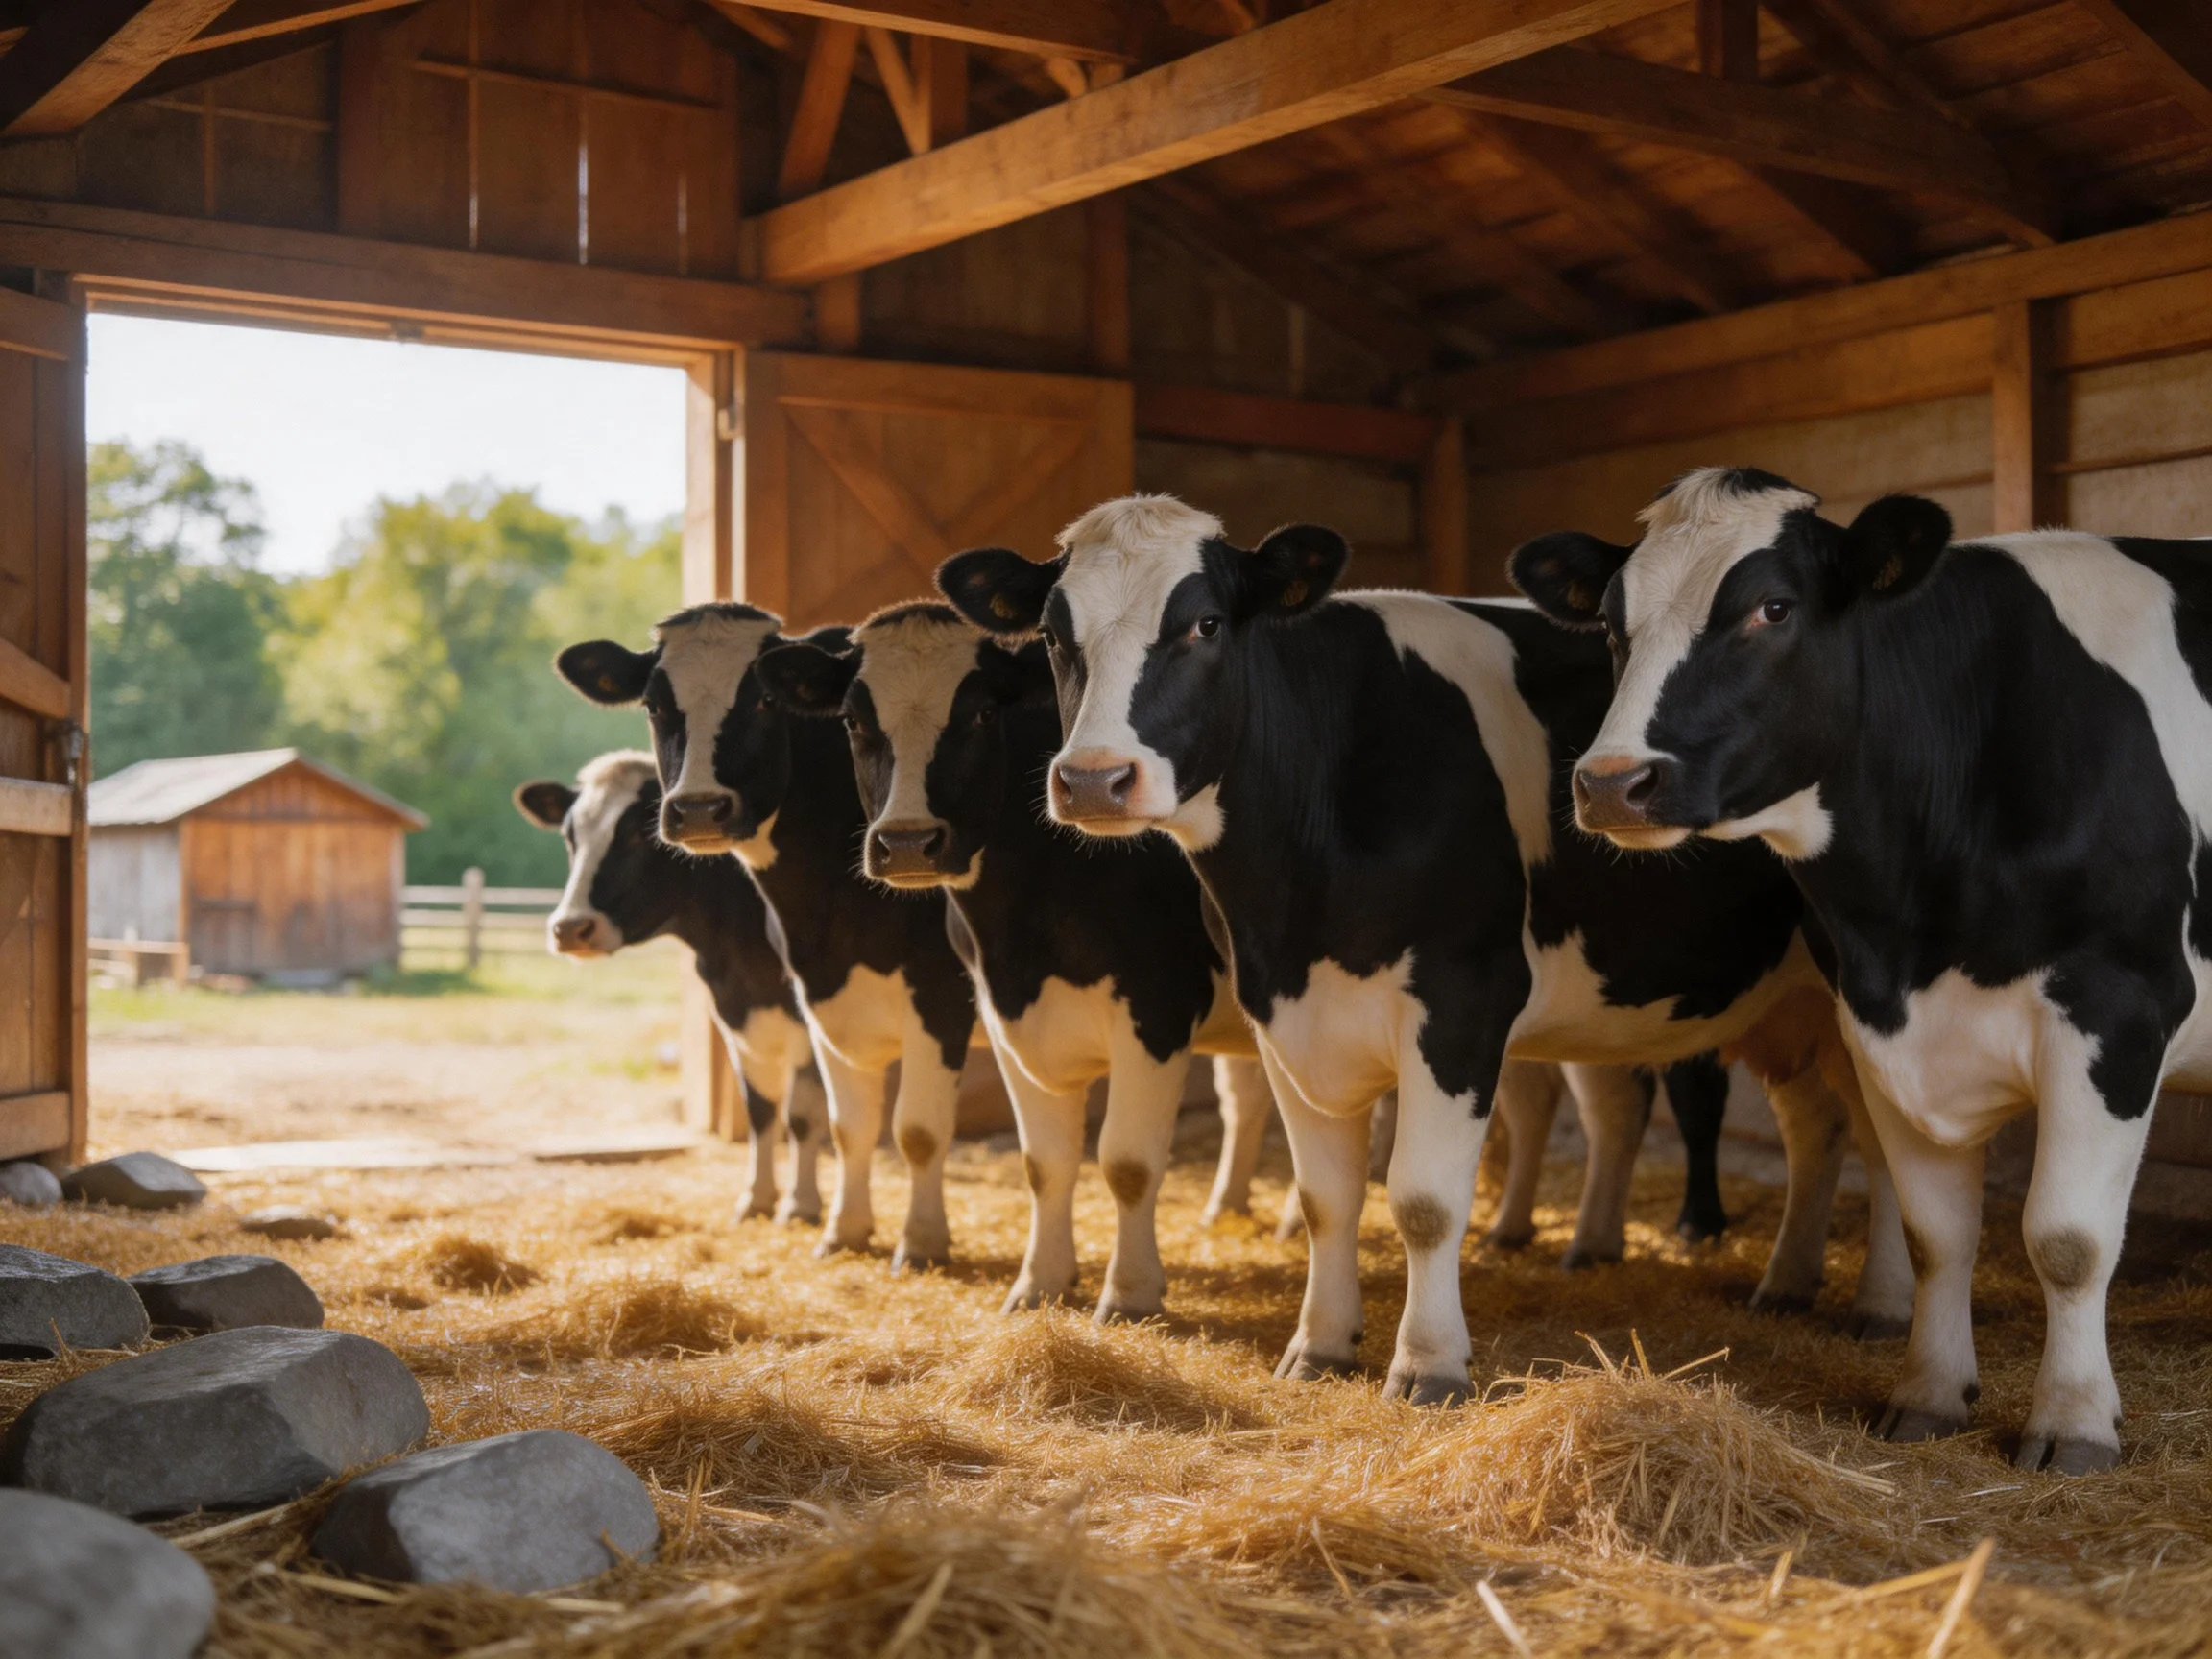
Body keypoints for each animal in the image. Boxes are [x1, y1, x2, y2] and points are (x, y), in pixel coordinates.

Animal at [515, 751, 825, 1224]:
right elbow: (760, 1109)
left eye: (641, 834)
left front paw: (801, 1204)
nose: (569, 928)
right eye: (570, 837)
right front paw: (756, 1198)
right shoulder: (738, 1015)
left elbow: (804, 1113)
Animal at [938, 494, 1909, 1405]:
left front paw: (1428, 1364)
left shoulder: (1463, 1001)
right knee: (1816, 1125)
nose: (1094, 779)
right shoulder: (1279, 1011)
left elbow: (1424, 1201)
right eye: (1054, 634)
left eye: (1206, 622)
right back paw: (1786, 1282)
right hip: (1785, 1002)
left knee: (1880, 1133)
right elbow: (1327, 1198)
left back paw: (1884, 1307)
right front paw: (1319, 1346)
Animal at [1511, 465, 2212, 1473]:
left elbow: (2068, 1239)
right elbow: (1936, 1234)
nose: (1610, 783)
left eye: (1773, 607)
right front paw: (1928, 1395)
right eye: (1612, 620)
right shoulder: (1878, 1015)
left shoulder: (2117, 1011)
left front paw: (2073, 1423)